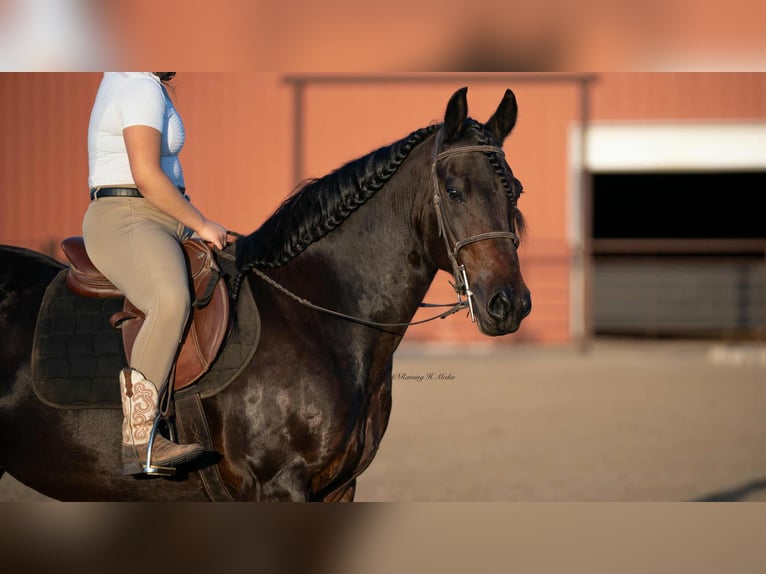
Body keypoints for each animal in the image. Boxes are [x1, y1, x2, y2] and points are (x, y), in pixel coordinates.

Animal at [0, 86, 531, 501]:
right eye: (454, 189)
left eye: (517, 191)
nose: (508, 304)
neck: (318, 314)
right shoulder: (278, 484)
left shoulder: (338, 487)